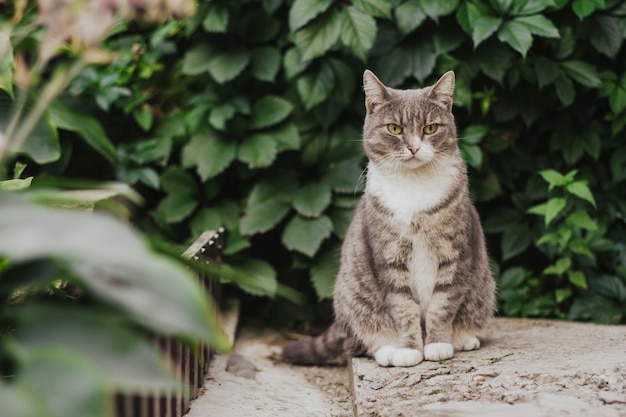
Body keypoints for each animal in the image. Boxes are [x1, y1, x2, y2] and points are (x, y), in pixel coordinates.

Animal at [280, 70, 494, 366]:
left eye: (430, 128)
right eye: (394, 129)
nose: (414, 148)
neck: (413, 186)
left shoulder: (455, 254)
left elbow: (443, 304)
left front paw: (438, 344)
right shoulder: (388, 258)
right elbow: (403, 308)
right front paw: (409, 350)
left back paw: (463, 338)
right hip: (353, 298)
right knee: (357, 342)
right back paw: (388, 350)